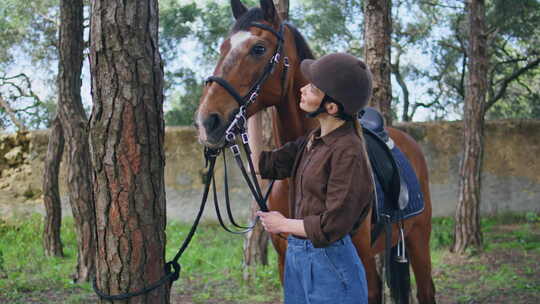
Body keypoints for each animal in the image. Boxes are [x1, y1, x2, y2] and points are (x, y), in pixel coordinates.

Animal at [196, 1, 436, 302]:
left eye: (259, 49)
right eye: (223, 47)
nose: (206, 122)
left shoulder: (361, 261)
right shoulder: (284, 261)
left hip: (419, 238)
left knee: (426, 289)